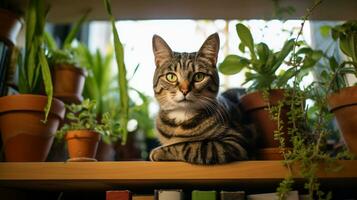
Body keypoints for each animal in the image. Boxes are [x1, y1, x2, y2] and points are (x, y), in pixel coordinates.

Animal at [149, 32, 253, 164]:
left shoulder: (235, 142)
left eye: (199, 76)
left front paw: (159, 151)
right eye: (171, 77)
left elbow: (190, 146)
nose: (184, 90)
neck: (182, 115)